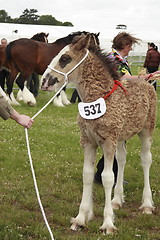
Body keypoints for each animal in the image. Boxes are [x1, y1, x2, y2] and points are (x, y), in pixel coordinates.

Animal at [40, 33, 156, 234]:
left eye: (65, 58)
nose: (45, 82)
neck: (101, 96)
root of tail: (146, 81)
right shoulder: (88, 141)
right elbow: (87, 174)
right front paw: (80, 219)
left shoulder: (108, 142)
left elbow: (107, 177)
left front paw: (108, 223)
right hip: (120, 138)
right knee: (122, 159)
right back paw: (117, 200)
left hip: (146, 131)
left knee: (145, 160)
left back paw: (147, 204)